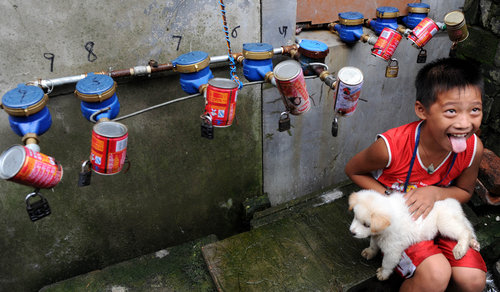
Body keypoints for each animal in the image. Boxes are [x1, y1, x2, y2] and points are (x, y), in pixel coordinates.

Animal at [348, 189, 480, 280]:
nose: (352, 232)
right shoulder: (377, 236)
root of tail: (454, 203)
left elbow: (387, 263)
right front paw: (369, 252)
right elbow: (373, 244)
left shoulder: (393, 251)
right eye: (355, 217)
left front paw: (383, 274)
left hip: (444, 224)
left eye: (366, 225)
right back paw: (473, 243)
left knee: (464, 232)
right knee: (467, 230)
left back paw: (459, 250)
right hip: (454, 220)